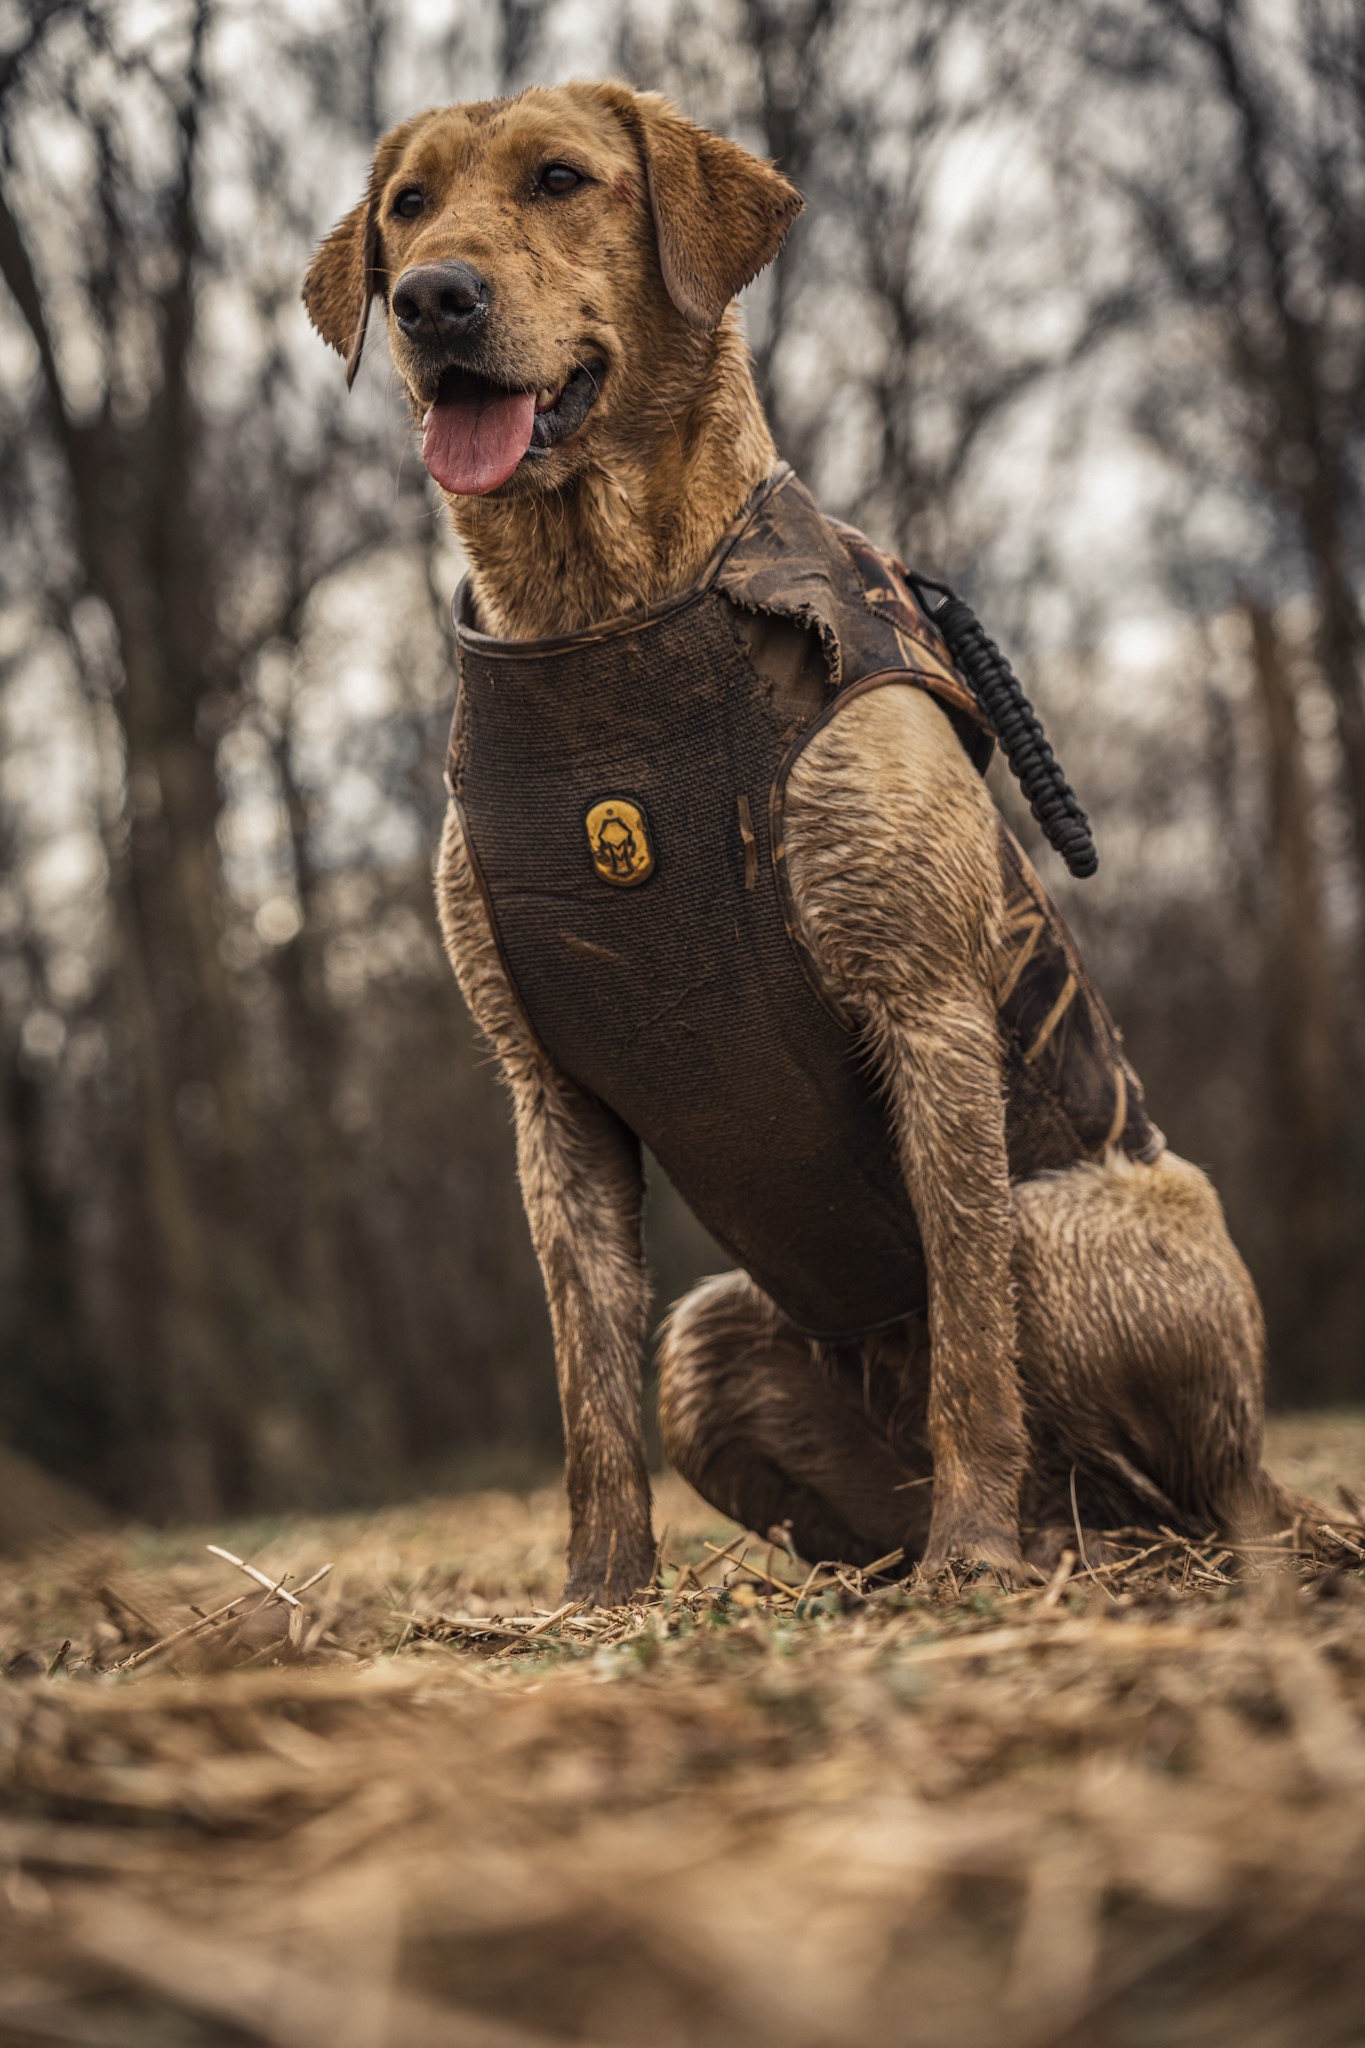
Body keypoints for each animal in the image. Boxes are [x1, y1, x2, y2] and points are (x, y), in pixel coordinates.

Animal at [304, 79, 1309, 1605]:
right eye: (406, 208)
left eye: (559, 179)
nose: (431, 298)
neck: (600, 612)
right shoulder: (548, 1097)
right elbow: (584, 1385)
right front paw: (601, 1593)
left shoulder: (927, 1007)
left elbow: (972, 1349)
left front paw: (972, 1556)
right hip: (710, 1338)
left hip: (1064, 1230)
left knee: (1167, 1476)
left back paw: (1045, 1541)